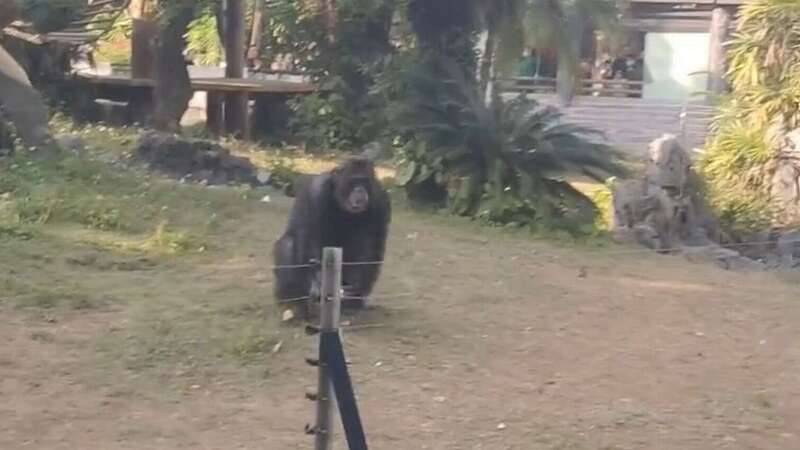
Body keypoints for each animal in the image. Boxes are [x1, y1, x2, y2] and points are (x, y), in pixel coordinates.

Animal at [272, 157, 390, 316]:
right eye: (353, 181)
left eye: (364, 181)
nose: (360, 190)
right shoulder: (316, 192)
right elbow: (311, 237)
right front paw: (318, 280)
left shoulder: (381, 201)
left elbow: (369, 245)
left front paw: (355, 287)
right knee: (288, 245)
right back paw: (293, 304)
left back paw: (352, 303)